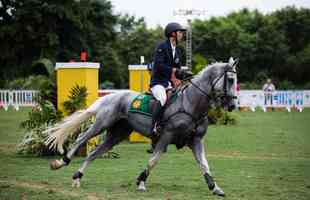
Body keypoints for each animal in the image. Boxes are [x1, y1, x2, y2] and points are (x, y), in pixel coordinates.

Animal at [44, 57, 239, 196]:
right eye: (230, 79)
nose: (232, 105)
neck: (191, 103)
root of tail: (111, 96)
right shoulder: (166, 136)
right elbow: (153, 161)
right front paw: (141, 182)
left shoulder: (196, 140)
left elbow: (204, 164)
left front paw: (214, 187)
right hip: (101, 124)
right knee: (81, 138)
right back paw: (61, 162)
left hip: (117, 134)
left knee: (93, 153)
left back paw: (77, 178)